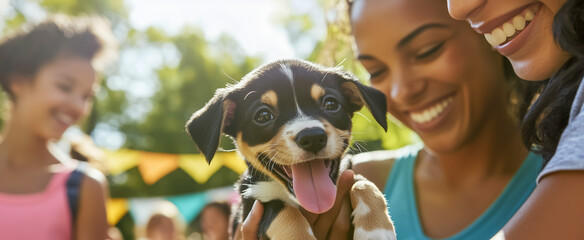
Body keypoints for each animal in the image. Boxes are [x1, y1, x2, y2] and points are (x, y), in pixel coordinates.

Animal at [187, 58, 396, 240]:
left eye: (331, 104)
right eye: (263, 115)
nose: (312, 137)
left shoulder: (349, 175)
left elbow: (365, 185)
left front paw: (376, 232)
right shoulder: (251, 203)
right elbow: (286, 211)